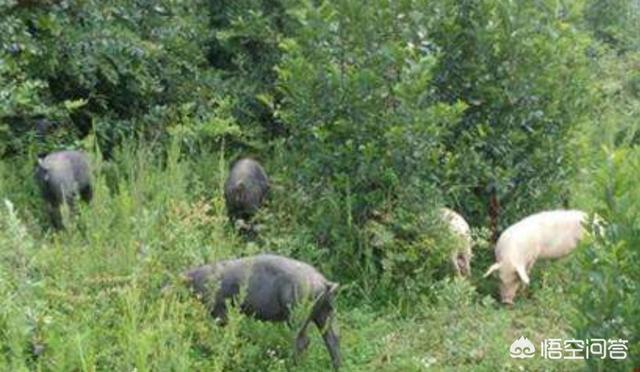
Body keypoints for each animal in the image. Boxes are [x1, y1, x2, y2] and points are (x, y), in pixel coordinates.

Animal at [184, 253, 340, 370]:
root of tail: (324, 283)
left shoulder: (217, 308)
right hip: (325, 313)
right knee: (333, 339)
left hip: (297, 313)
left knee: (303, 341)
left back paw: (293, 366)